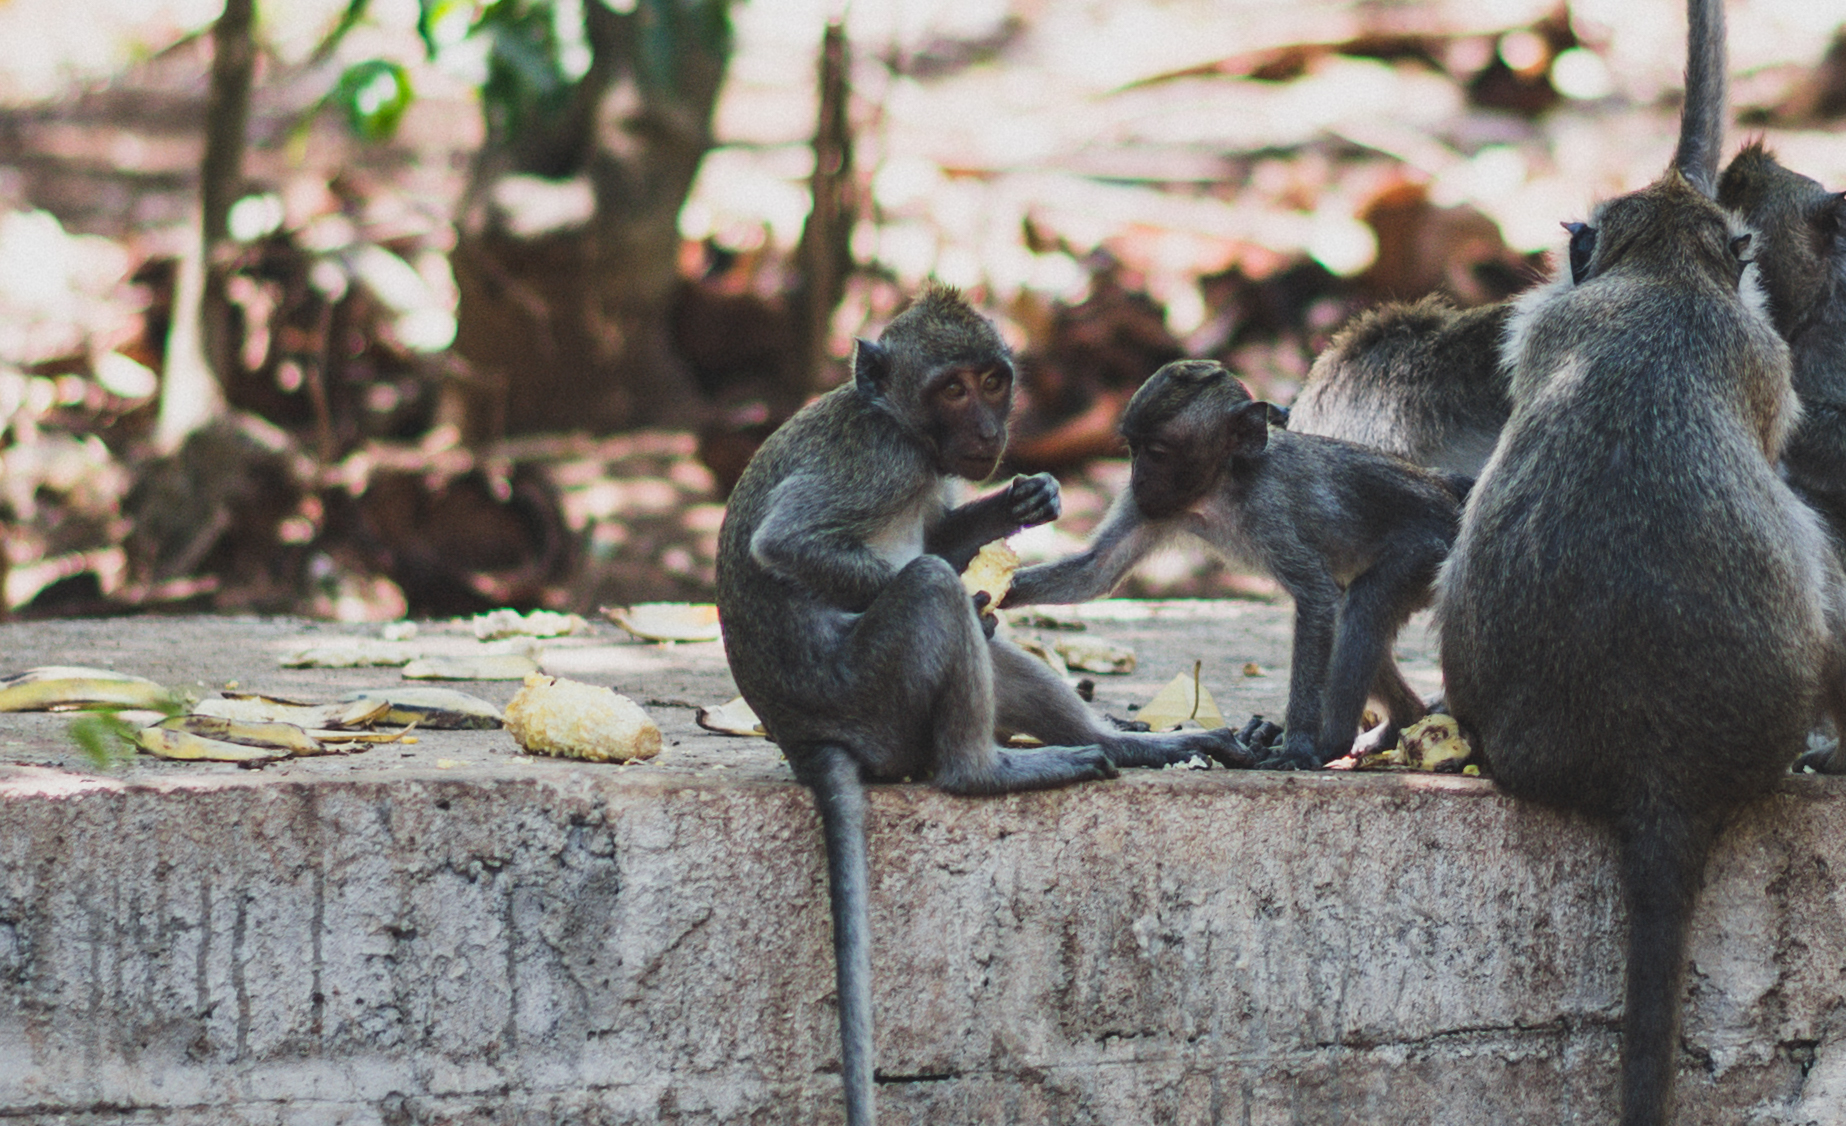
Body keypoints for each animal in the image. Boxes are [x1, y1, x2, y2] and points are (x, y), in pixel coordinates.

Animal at [712, 280, 1247, 1122]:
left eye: (994, 381)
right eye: (951, 389)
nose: (990, 428)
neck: (896, 418)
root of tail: (801, 740)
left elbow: (940, 538)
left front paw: (1023, 499)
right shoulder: (884, 463)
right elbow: (793, 546)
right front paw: (975, 579)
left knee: (981, 635)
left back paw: (1128, 744)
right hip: (873, 697)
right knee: (935, 596)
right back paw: (983, 769)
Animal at [1004, 354, 1462, 767]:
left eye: (1157, 451)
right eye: (1133, 449)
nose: (1136, 479)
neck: (1220, 486)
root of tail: (1450, 502)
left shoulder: (1267, 507)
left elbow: (1316, 596)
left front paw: (1299, 746)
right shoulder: (1157, 506)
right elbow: (1095, 571)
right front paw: (996, 593)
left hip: (1427, 551)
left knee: (1361, 606)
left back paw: (1333, 742)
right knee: (1354, 609)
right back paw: (1402, 719)